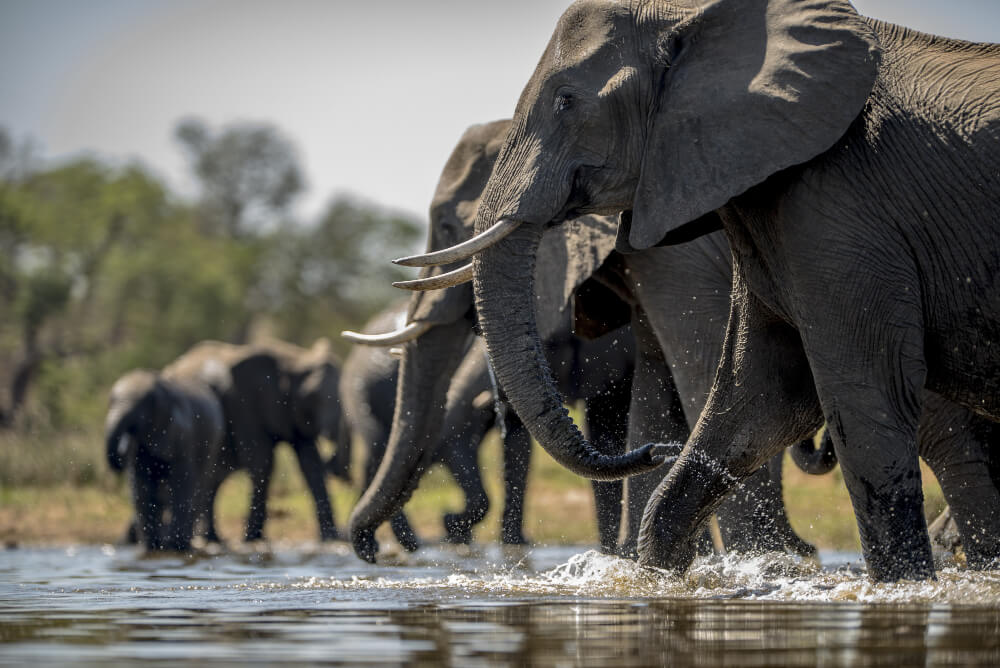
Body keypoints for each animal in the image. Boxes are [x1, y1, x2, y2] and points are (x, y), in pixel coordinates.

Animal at [105, 368, 225, 551]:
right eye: (110, 401)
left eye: (141, 407)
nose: (121, 452)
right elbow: (141, 485)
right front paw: (151, 546)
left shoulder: (183, 434)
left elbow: (182, 482)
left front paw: (175, 545)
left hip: (213, 444)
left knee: (200, 487)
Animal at [164, 338, 346, 543]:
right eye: (313, 396)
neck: (294, 360)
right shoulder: (245, 401)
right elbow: (262, 460)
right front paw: (252, 539)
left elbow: (311, 464)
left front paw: (331, 538)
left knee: (212, 479)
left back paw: (213, 538)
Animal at [348, 119, 817, 563]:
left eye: (448, 227)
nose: (371, 552)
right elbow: (648, 393)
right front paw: (631, 561)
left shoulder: (678, 259)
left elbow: (699, 375)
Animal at [409, 0, 1000, 580]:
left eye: (566, 100)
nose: (658, 452)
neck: (698, 16)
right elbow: (756, 394)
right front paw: (659, 575)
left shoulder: (837, 207)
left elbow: (857, 393)